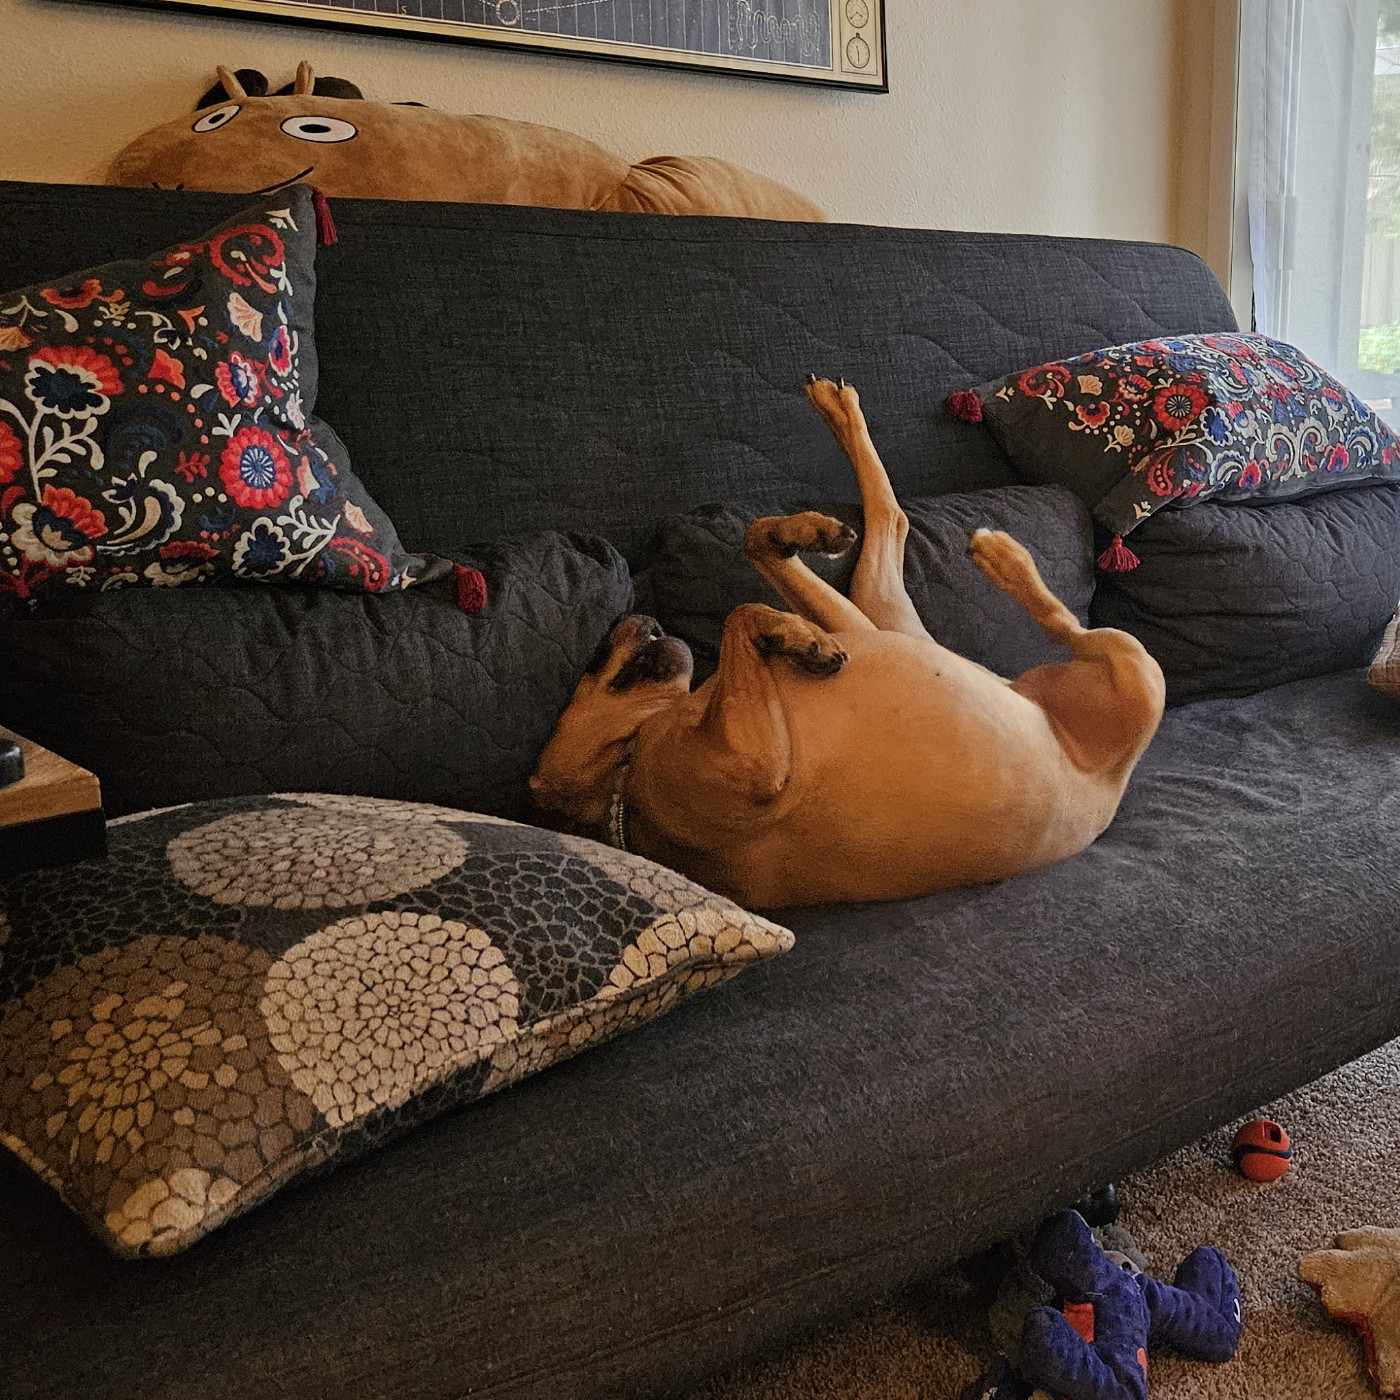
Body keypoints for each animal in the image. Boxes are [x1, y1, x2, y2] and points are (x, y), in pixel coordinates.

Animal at [529, 380, 1164, 907]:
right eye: (593, 662)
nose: (635, 619)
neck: (625, 781)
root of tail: (1113, 781)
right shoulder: (755, 762)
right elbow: (739, 614)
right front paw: (792, 635)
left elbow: (749, 565)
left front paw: (794, 596)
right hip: (1135, 668)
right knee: (1065, 625)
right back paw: (1002, 557)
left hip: (879, 627)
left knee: (870, 527)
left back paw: (833, 455)